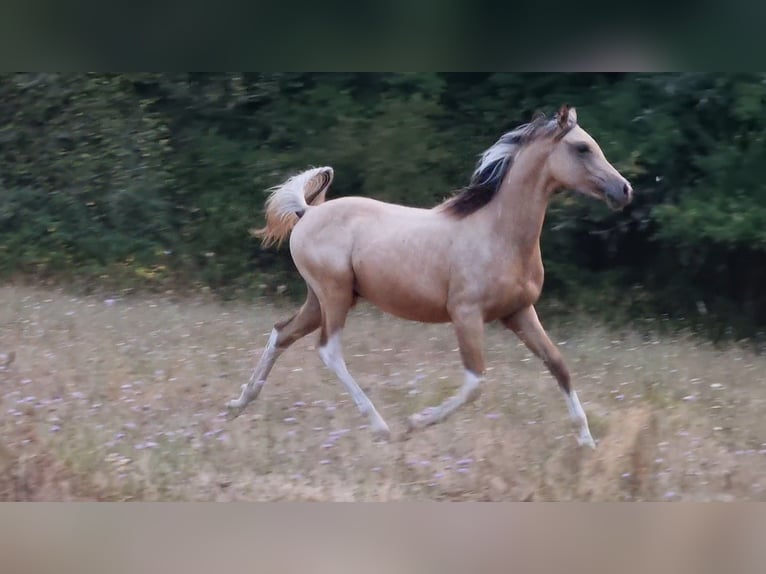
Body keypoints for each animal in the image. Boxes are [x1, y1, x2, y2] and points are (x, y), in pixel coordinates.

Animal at [226, 105, 633, 448]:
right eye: (582, 148)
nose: (624, 190)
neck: (499, 234)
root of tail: (307, 212)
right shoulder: (466, 314)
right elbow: (475, 382)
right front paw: (416, 422)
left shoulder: (519, 312)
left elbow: (559, 366)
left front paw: (588, 445)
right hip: (334, 294)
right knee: (329, 350)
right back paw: (381, 427)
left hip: (321, 298)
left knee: (282, 333)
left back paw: (237, 404)